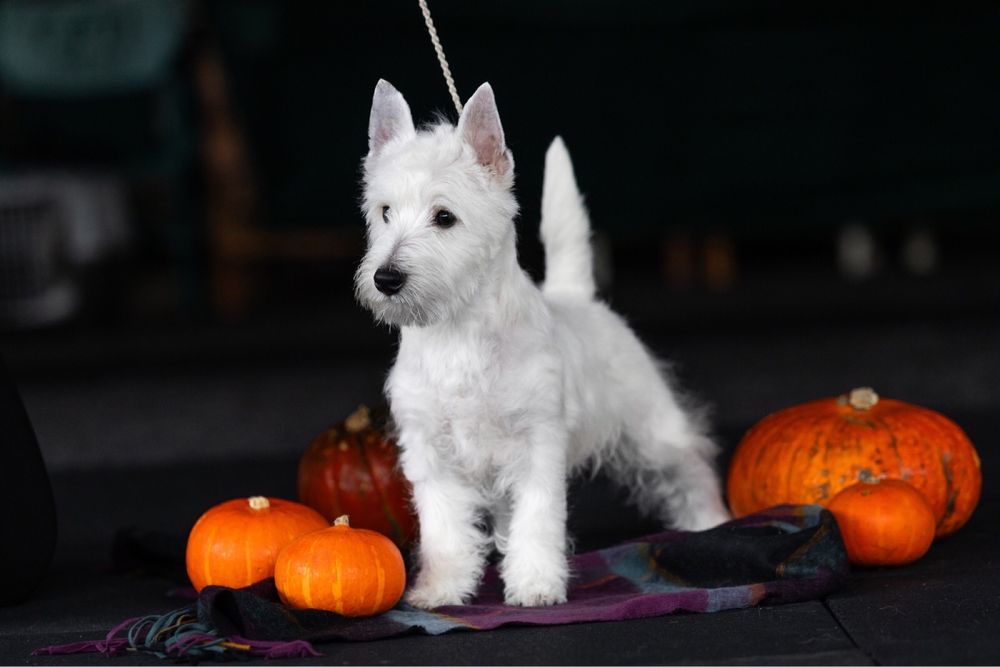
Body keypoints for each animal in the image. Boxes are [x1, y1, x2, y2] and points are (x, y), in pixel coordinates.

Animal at [356, 79, 732, 612]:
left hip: (651, 430)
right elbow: (445, 530)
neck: (459, 336)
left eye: (444, 217)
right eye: (384, 212)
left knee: (689, 463)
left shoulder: (536, 447)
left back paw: (709, 521)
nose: (386, 279)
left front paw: (535, 585)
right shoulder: (432, 455)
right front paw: (441, 588)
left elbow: (538, 520)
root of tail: (577, 295)